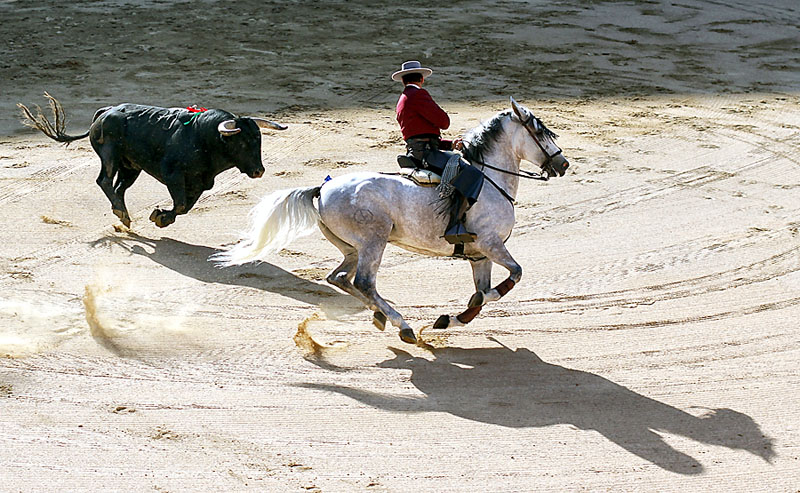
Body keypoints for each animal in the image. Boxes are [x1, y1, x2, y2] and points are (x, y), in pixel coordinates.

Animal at [17, 93, 288, 227]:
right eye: (241, 143)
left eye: (259, 141)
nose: (259, 171)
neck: (203, 137)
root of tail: (105, 112)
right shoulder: (173, 175)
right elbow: (181, 203)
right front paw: (160, 217)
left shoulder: (201, 183)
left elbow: (186, 206)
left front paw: (162, 218)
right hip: (110, 155)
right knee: (104, 180)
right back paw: (121, 212)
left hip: (131, 167)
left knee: (119, 187)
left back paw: (123, 215)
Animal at [212, 96, 568, 342]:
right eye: (540, 131)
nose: (563, 164)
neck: (490, 178)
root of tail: (322, 188)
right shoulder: (491, 244)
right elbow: (513, 276)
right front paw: (455, 312)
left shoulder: (479, 256)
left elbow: (480, 298)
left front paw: (448, 320)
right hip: (375, 241)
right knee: (363, 282)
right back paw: (402, 325)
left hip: (352, 248)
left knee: (339, 278)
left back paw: (383, 318)